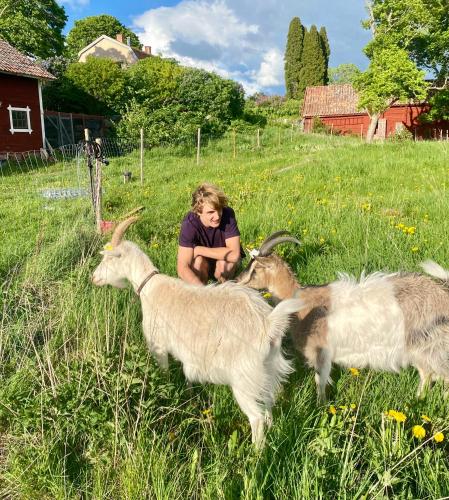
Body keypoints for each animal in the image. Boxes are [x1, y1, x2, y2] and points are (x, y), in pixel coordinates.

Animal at [91, 217, 302, 444]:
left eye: (108, 259)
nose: (93, 278)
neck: (149, 286)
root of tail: (268, 323)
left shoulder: (158, 346)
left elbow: (164, 374)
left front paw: (169, 394)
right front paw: (190, 396)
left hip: (244, 377)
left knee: (256, 417)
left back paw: (255, 451)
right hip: (268, 367)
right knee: (269, 400)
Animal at [238, 232, 449, 400]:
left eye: (255, 269)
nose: (238, 280)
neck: (300, 300)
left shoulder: (321, 351)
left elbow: (320, 381)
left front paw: (320, 406)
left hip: (428, 347)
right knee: (428, 374)